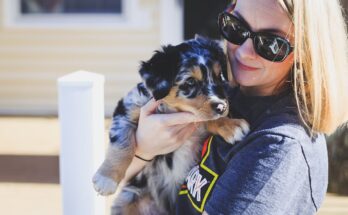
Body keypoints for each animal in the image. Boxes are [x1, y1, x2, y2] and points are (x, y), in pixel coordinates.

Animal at [93, 36, 250, 214]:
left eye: (219, 77)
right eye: (190, 82)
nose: (222, 107)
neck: (172, 109)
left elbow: (206, 118)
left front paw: (231, 125)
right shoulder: (128, 108)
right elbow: (123, 144)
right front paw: (107, 178)